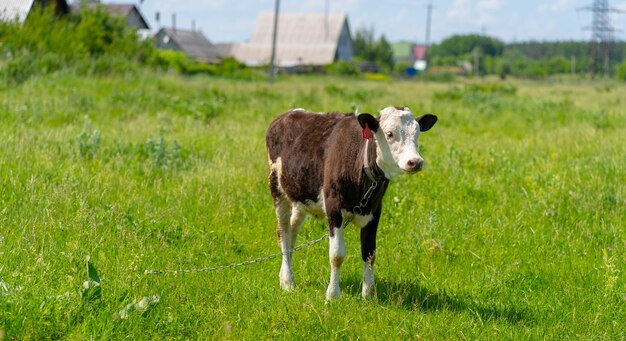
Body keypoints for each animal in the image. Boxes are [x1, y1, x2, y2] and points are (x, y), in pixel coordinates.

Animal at [266, 105, 436, 298]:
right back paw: (288, 281)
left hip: (301, 195)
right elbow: (337, 255)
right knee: (283, 232)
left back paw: (284, 276)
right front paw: (332, 294)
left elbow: (369, 252)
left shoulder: (375, 209)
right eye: (390, 134)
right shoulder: (333, 207)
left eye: (417, 133)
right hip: (277, 189)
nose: (415, 162)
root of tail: (287, 114)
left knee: (293, 231)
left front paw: (369, 295)